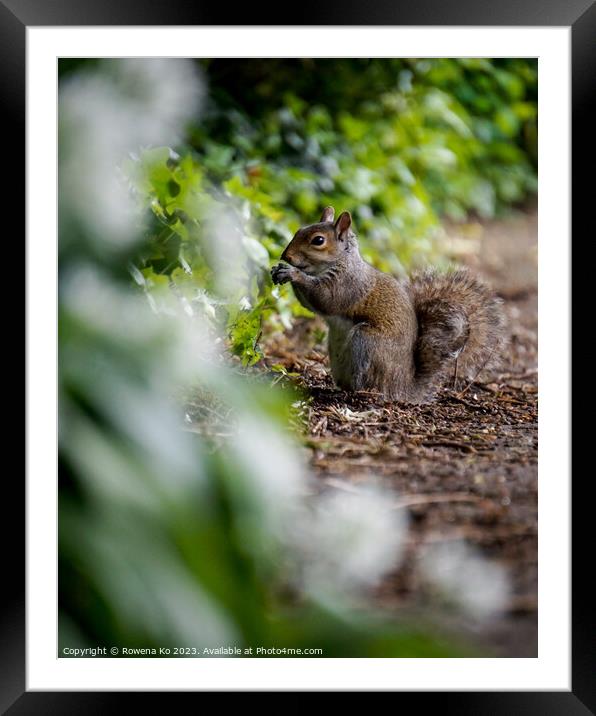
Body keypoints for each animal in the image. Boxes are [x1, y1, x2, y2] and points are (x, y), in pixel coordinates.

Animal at [272, 206, 506, 402]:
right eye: (299, 230)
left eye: (318, 240)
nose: (285, 255)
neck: (341, 262)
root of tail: (403, 388)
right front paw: (279, 270)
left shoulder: (348, 284)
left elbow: (325, 300)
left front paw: (293, 273)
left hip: (367, 342)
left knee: (371, 386)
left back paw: (359, 392)